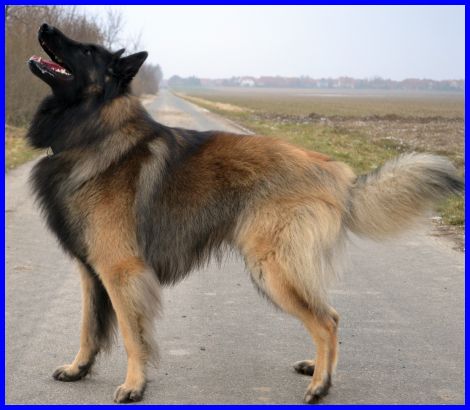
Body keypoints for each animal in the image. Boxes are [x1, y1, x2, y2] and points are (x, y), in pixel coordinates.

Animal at [27, 24, 463, 404]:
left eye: (86, 51)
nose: (45, 26)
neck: (95, 131)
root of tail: (337, 174)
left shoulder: (121, 271)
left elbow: (134, 338)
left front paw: (134, 386)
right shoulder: (91, 272)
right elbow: (88, 329)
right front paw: (78, 368)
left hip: (273, 268)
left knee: (326, 320)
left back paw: (320, 386)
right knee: (332, 314)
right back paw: (318, 369)